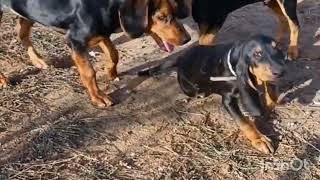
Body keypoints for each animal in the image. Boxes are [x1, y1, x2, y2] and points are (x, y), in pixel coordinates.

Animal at [0, 0, 190, 107]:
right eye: (162, 17)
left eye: (174, 12)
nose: (187, 39)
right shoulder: (75, 42)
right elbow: (89, 72)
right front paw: (98, 97)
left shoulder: (102, 34)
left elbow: (114, 54)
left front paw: (111, 73)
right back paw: (3, 79)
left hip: (26, 14)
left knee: (22, 33)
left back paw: (38, 61)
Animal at [139, 35, 286, 153]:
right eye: (257, 54)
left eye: (278, 48)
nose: (281, 71)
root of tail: (181, 58)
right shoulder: (228, 100)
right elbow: (244, 122)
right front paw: (259, 140)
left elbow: (268, 96)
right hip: (189, 88)